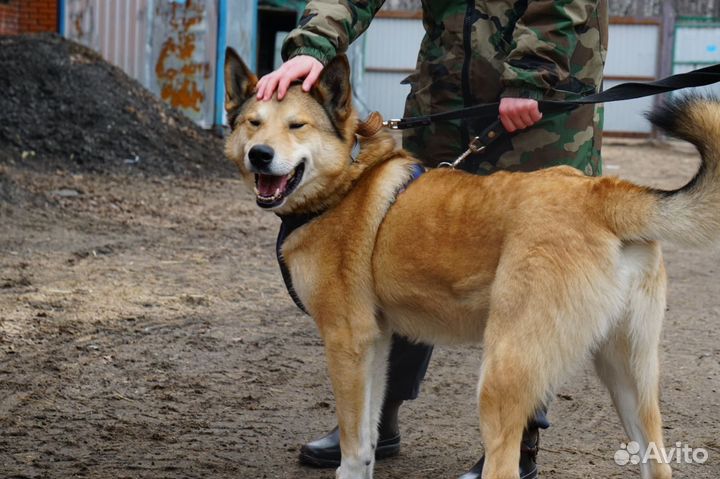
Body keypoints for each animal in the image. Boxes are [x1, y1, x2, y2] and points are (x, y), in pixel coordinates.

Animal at [222, 49, 716, 479]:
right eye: (253, 123)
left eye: (297, 126)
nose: (259, 154)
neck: (347, 180)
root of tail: (601, 194)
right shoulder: (375, 342)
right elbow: (367, 436)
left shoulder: (347, 341)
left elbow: (353, 443)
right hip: (628, 376)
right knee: (658, 462)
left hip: (502, 376)